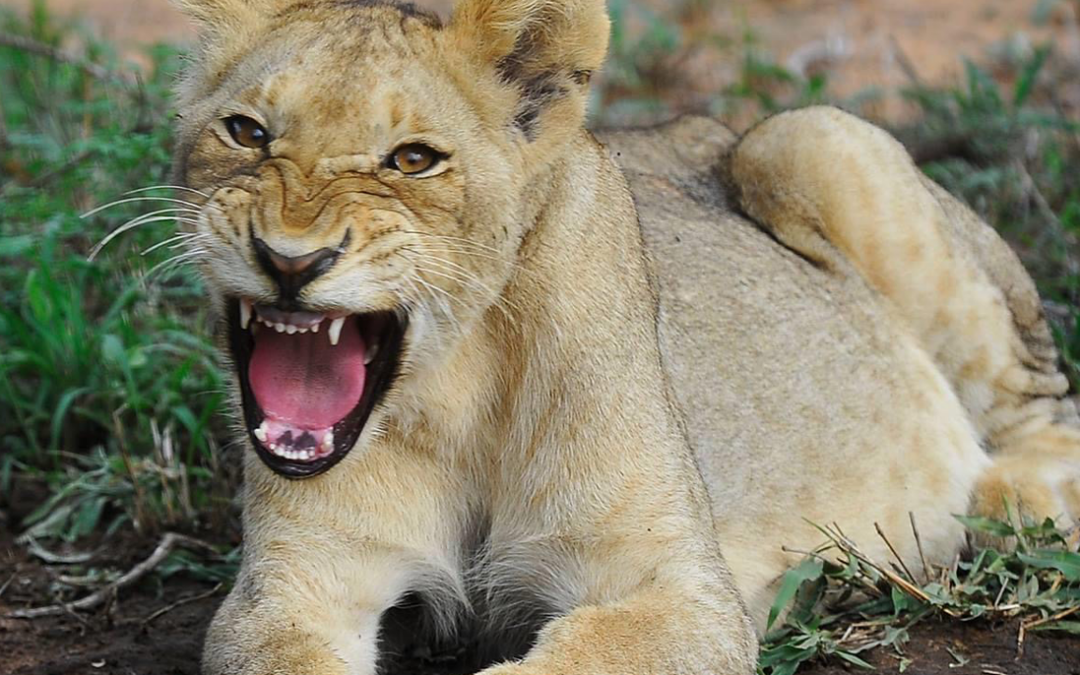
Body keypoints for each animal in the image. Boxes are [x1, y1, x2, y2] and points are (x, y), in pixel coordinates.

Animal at [167, 0, 1080, 673]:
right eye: (247, 131)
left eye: (413, 159)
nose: (290, 258)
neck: (451, 389)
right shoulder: (291, 592)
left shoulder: (678, 591)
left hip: (808, 136)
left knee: (1040, 411)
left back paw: (1003, 504)